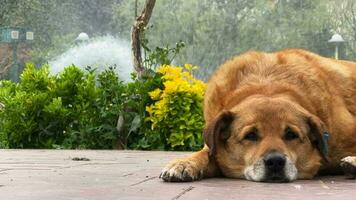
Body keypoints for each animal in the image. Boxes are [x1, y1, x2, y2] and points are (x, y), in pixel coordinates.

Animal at [160, 48, 356, 181]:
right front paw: (185, 163)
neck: (268, 85)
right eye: (251, 135)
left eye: (291, 134)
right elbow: (206, 153)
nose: (275, 161)